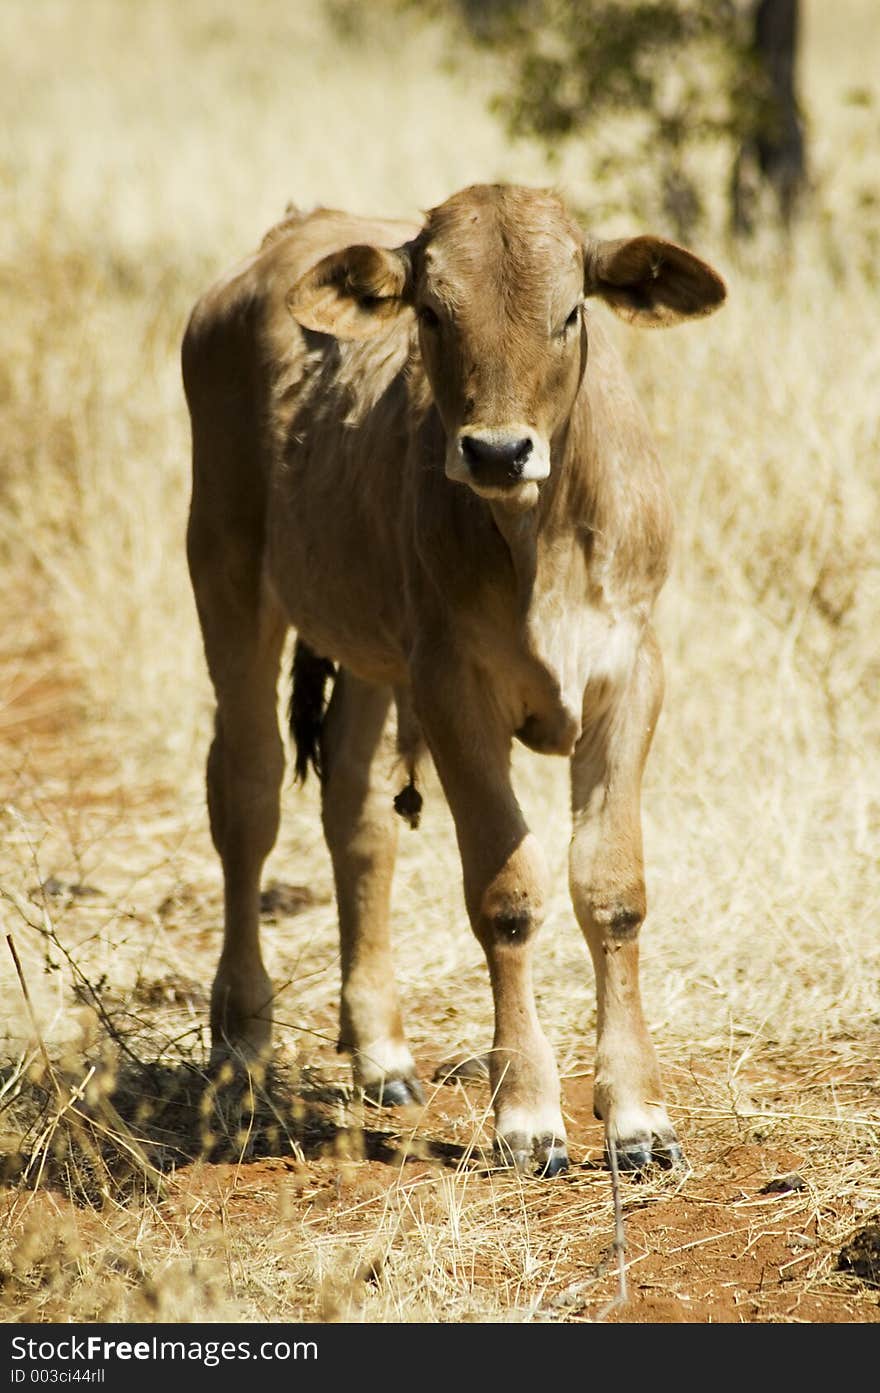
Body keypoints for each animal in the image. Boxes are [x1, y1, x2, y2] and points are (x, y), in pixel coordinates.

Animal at [182, 182, 724, 1175]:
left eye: (571, 310)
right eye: (433, 314)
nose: (498, 452)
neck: (538, 537)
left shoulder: (630, 672)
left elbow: (613, 889)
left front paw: (637, 1115)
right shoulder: (451, 686)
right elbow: (506, 896)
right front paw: (529, 1114)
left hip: (367, 652)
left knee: (355, 813)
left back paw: (382, 1051)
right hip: (228, 579)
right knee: (248, 800)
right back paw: (239, 1051)